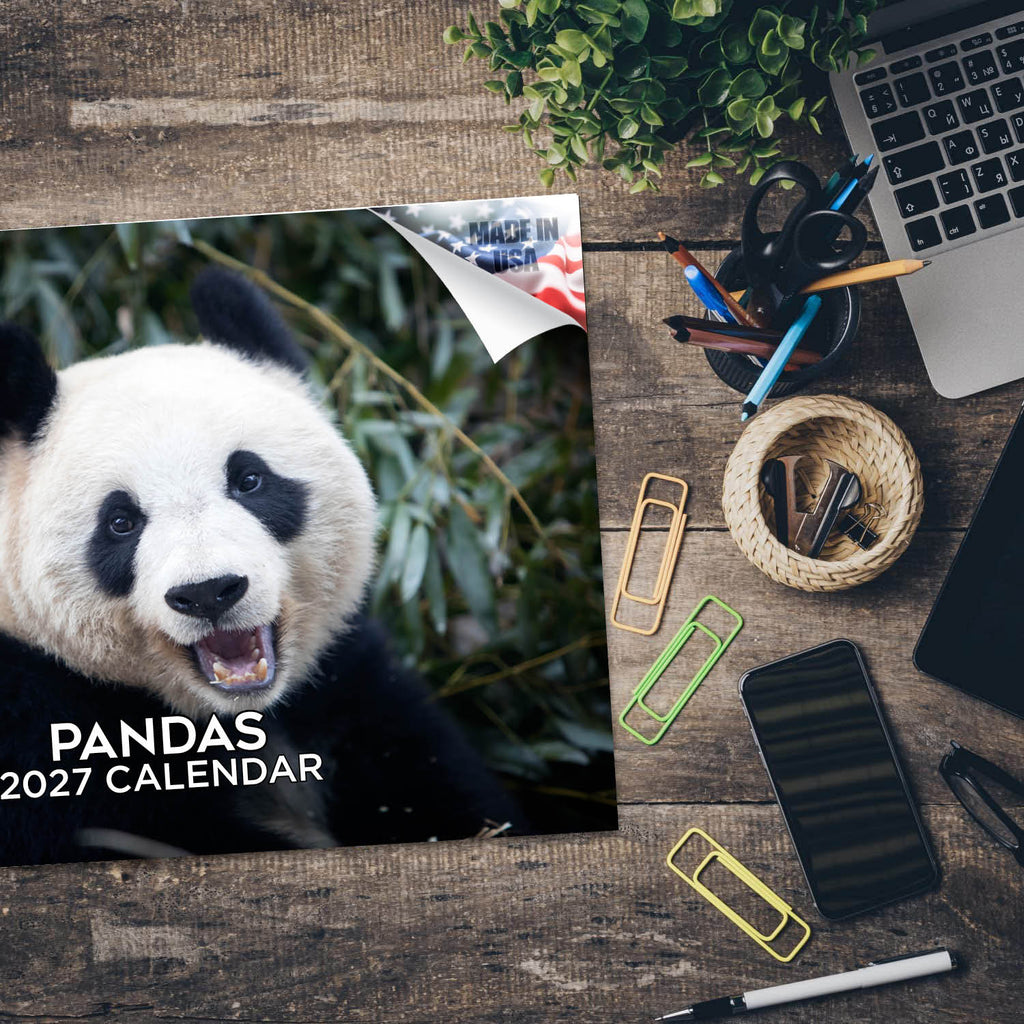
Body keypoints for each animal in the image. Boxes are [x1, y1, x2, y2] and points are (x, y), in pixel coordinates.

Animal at [0, 267, 518, 866]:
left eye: (249, 479)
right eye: (120, 521)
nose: (208, 592)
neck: (234, 721)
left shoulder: (346, 686)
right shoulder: (37, 725)